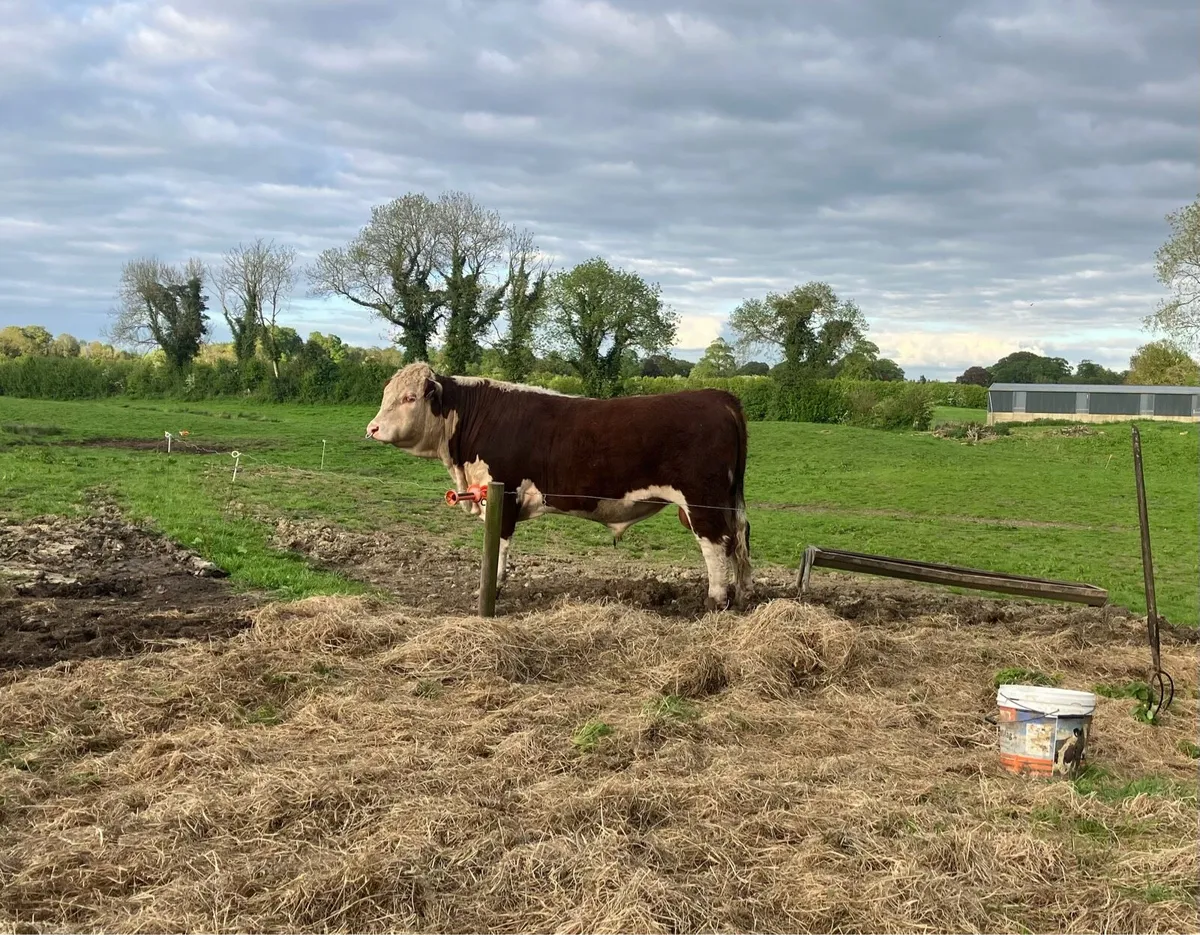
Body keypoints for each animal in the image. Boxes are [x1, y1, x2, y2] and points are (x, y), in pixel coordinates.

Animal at [365, 362, 752, 610]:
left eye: (410, 398)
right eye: (385, 394)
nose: (372, 428)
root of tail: (719, 397)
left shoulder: (503, 494)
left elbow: (499, 549)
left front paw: (492, 592)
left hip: (702, 502)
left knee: (716, 545)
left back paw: (716, 600)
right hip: (727, 501)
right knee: (740, 538)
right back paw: (744, 594)